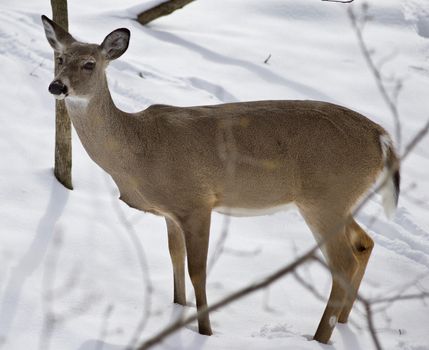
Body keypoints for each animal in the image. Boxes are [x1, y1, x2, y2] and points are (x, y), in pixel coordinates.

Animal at [41, 15, 400, 344]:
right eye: (59, 58)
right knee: (365, 243)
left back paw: (320, 337)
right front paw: (178, 310)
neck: (138, 149)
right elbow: (175, 259)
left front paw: (205, 331)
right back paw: (343, 322)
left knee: (344, 263)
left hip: (325, 198)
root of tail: (382, 138)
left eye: (89, 63)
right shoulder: (170, 212)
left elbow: (197, 270)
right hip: (337, 200)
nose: (57, 86)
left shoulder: (197, 202)